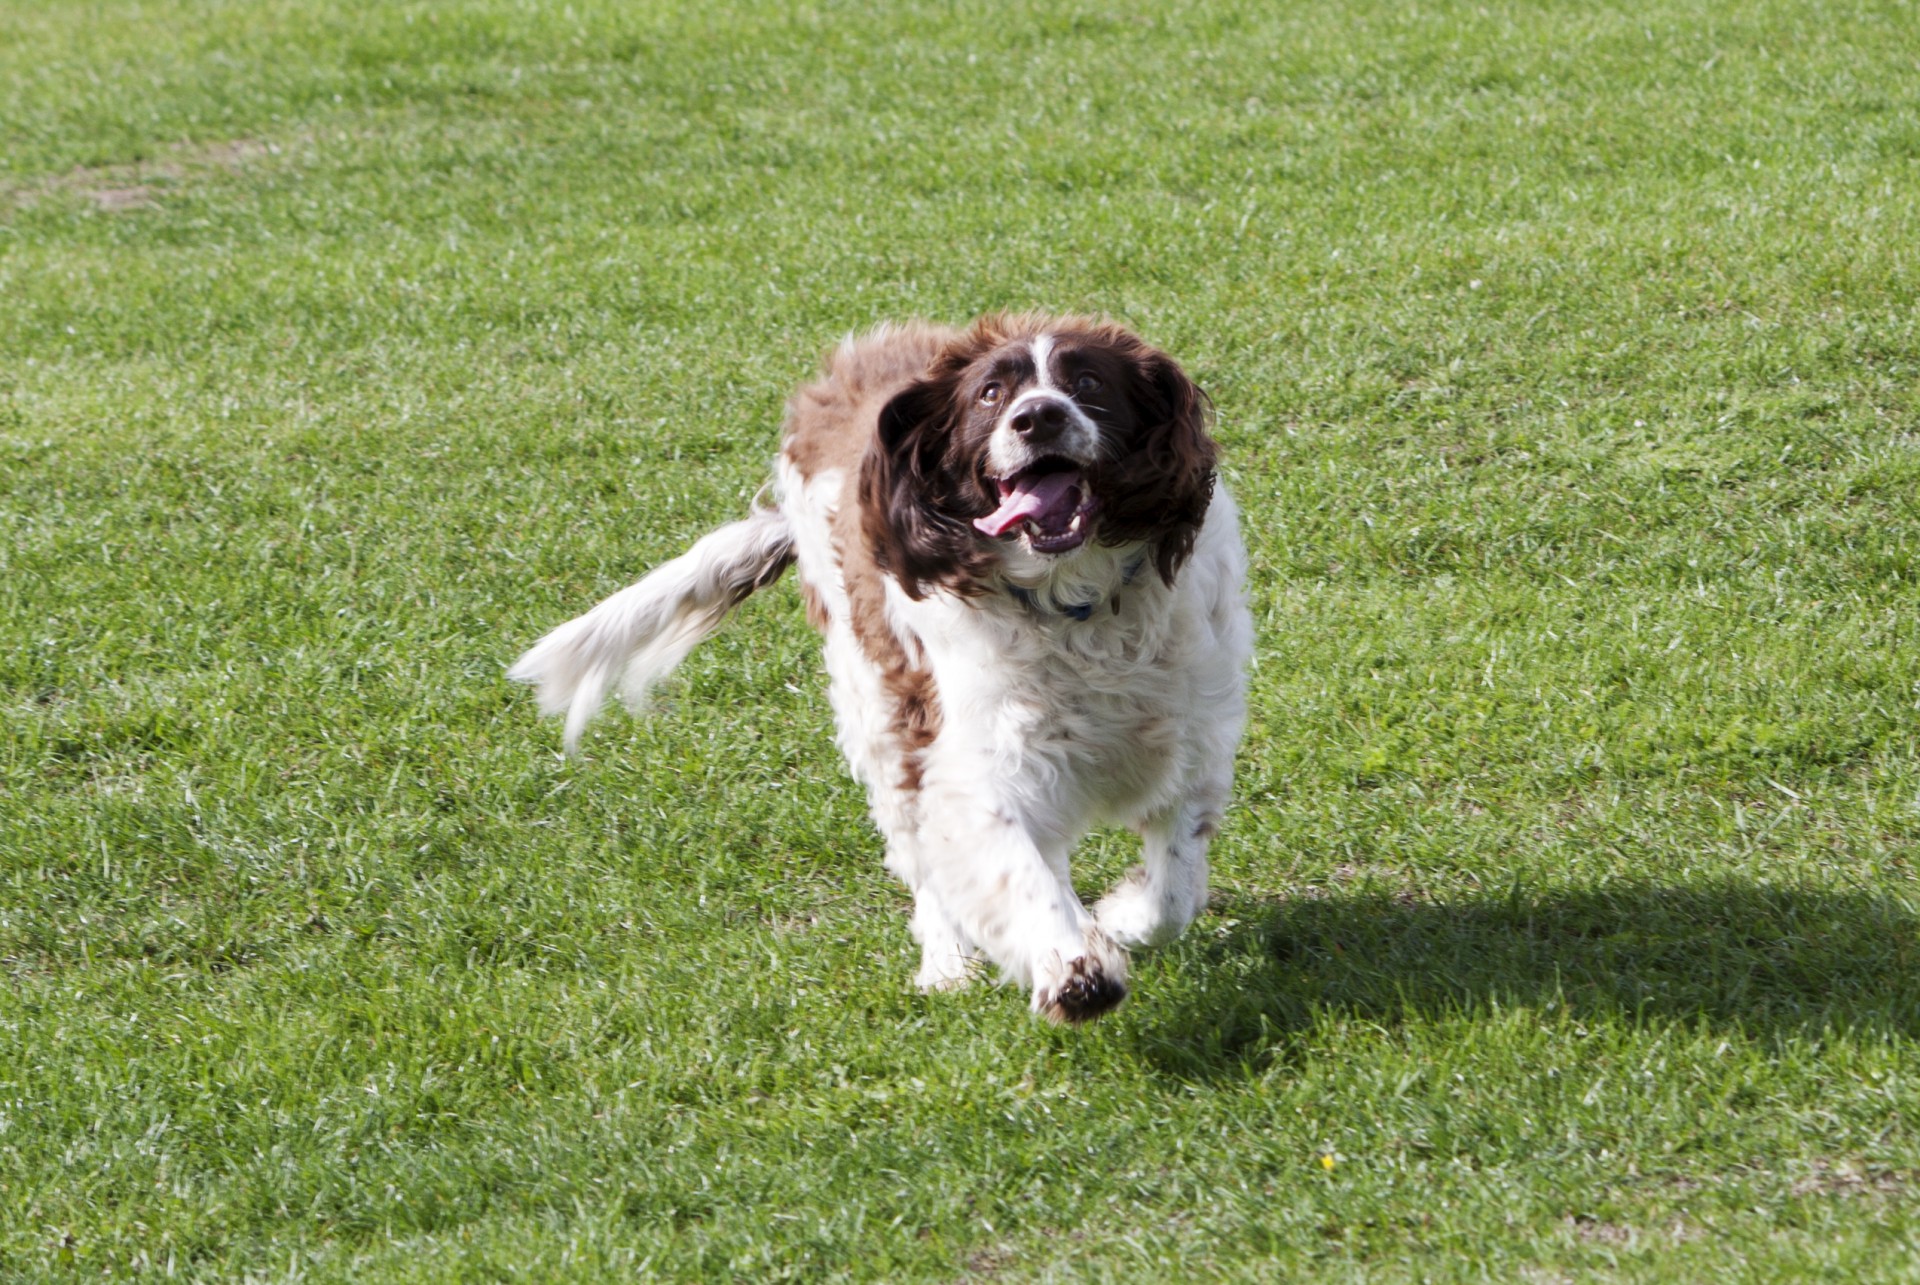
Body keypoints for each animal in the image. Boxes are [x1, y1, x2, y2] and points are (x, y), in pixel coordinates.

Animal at [510, 313, 1251, 1021]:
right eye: (991, 394)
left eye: (1089, 382)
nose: (1038, 417)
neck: (1077, 606)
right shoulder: (976, 760)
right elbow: (1011, 868)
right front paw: (1074, 965)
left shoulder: (1194, 744)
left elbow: (1175, 889)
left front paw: (1119, 918)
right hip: (878, 705)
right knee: (921, 855)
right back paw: (949, 964)